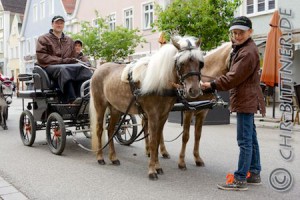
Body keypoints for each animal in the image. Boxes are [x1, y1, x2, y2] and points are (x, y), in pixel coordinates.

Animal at [90, 35, 205, 180]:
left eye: (200, 63)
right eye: (181, 63)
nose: (194, 90)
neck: (161, 82)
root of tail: (98, 69)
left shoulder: (163, 116)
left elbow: (157, 140)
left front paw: (157, 166)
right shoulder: (152, 115)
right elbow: (153, 141)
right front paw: (151, 170)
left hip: (116, 109)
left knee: (111, 130)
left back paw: (113, 158)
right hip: (100, 105)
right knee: (99, 130)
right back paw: (100, 157)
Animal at [152, 41, 232, 169]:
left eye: (200, 64)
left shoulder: (202, 112)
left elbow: (197, 135)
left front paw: (197, 158)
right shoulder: (188, 112)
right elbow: (185, 136)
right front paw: (181, 161)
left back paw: (161, 151)